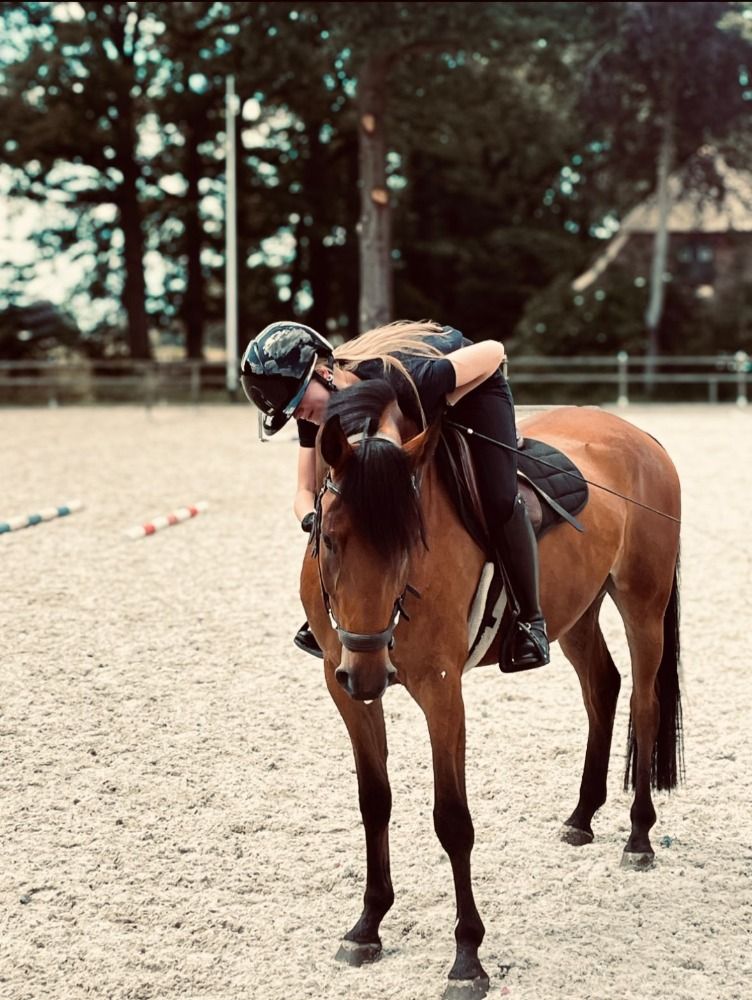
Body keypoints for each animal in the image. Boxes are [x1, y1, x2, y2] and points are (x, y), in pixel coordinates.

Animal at [300, 385, 682, 1000]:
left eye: (411, 544)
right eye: (330, 540)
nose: (369, 669)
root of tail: (640, 436)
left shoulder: (441, 692)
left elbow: (452, 820)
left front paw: (467, 956)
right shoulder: (346, 688)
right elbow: (373, 801)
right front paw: (367, 926)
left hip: (643, 605)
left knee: (644, 706)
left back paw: (639, 838)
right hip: (575, 612)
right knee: (603, 688)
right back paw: (582, 817)